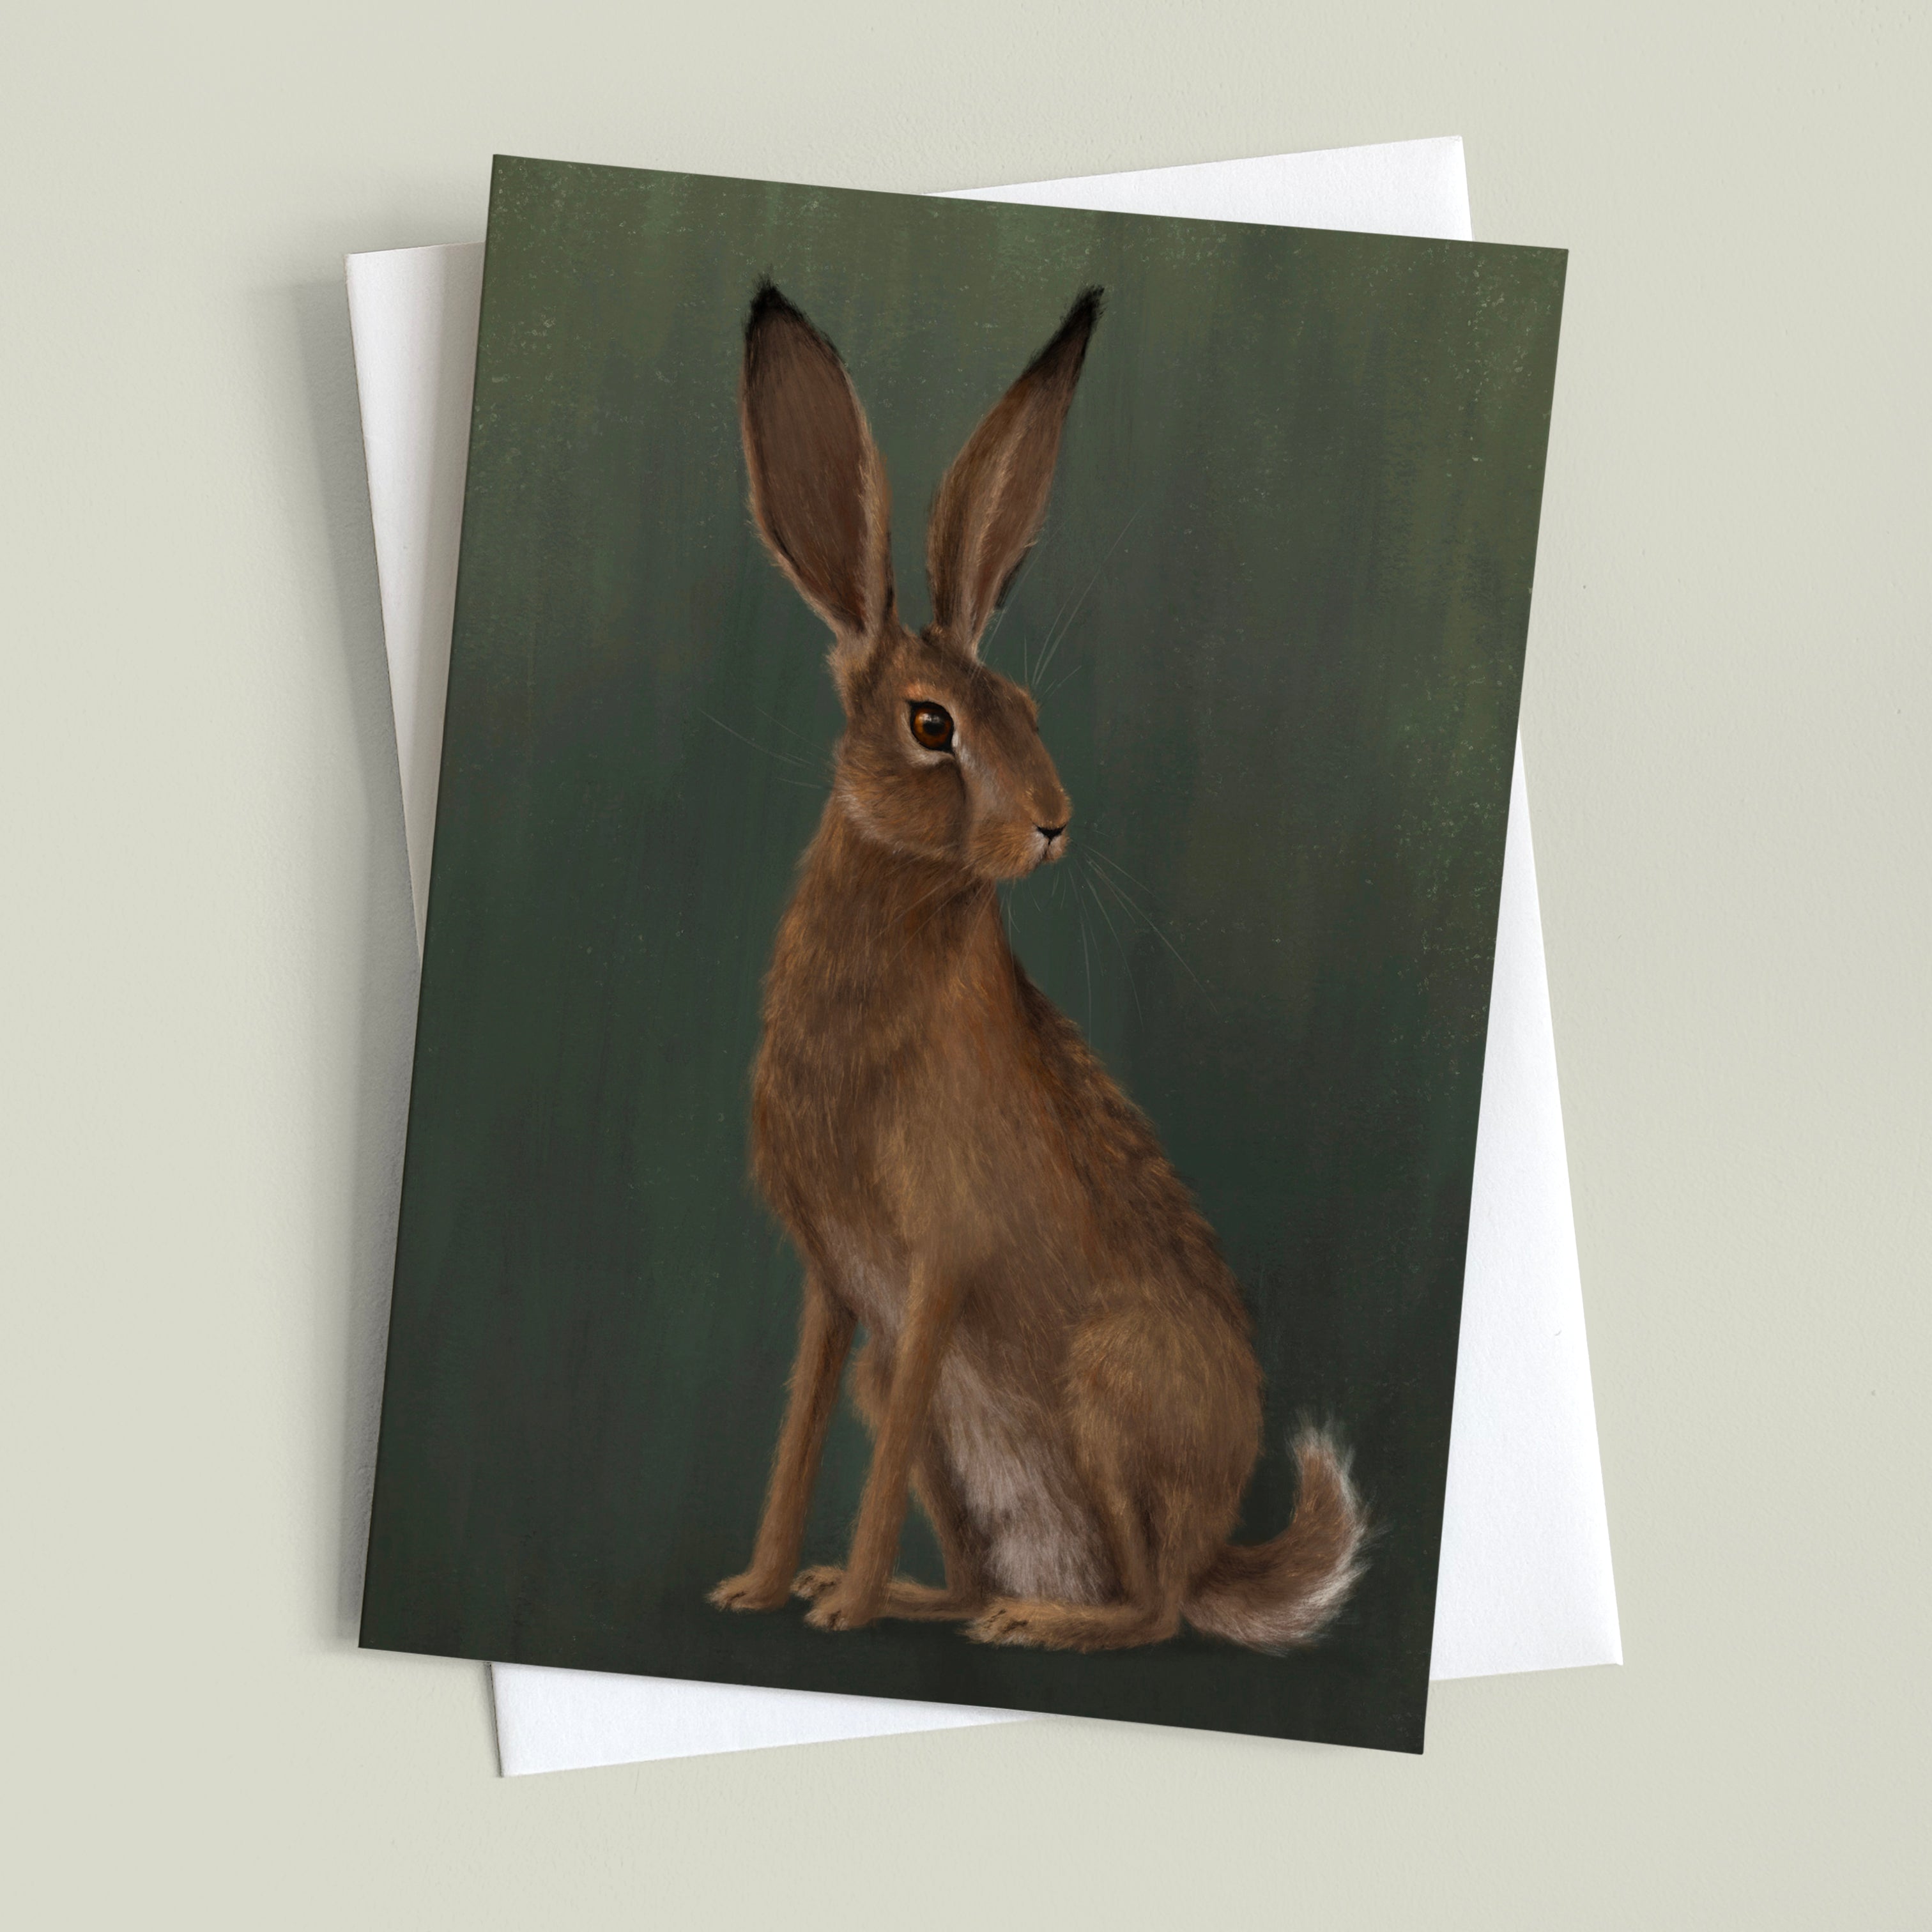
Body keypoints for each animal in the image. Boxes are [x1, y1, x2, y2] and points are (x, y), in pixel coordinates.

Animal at [708, 281, 1367, 1652]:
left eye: (1026, 708)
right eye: (930, 724)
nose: (1055, 822)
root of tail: (1217, 1546)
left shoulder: (936, 1263)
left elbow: (871, 1449)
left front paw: (839, 1610)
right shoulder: (838, 1289)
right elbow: (801, 1434)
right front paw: (763, 1584)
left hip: (1105, 1386)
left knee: (1156, 1611)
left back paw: (1038, 1622)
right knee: (980, 1549)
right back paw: (937, 1597)